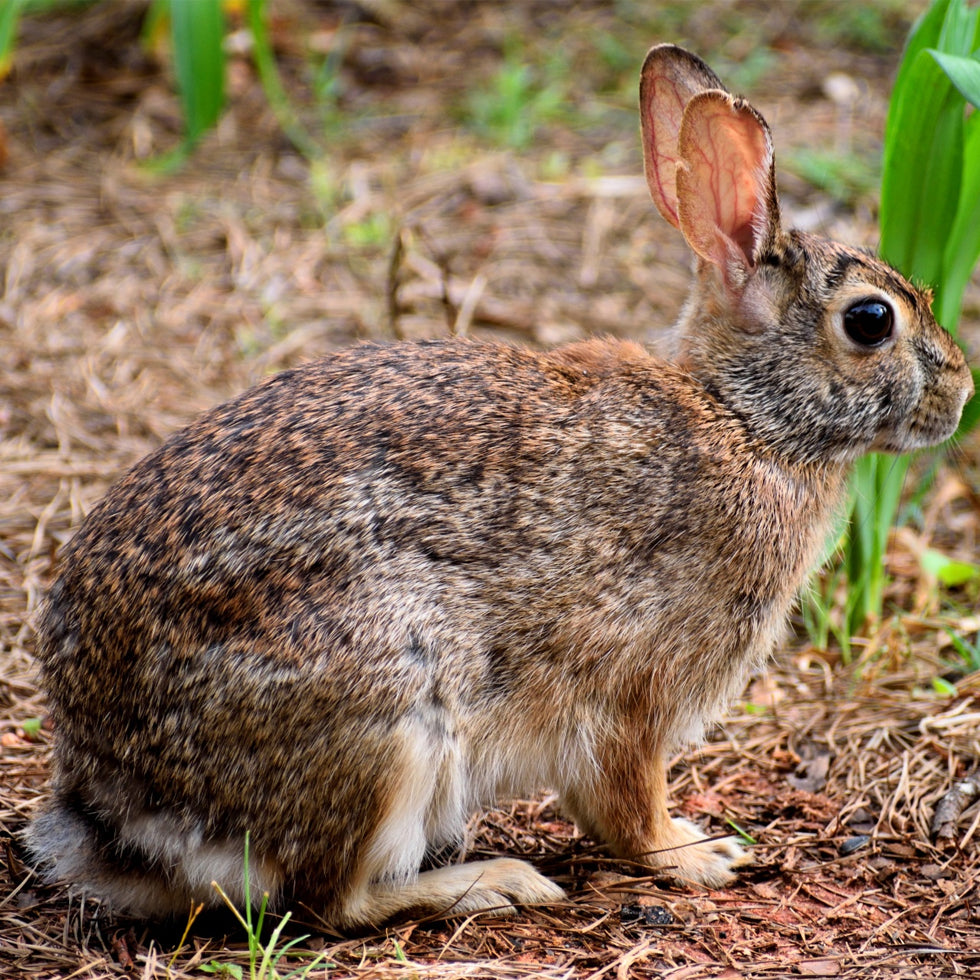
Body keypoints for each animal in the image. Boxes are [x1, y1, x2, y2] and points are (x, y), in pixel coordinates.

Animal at [23, 46, 972, 932]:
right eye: (871, 321)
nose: (961, 392)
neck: (743, 416)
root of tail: (120, 810)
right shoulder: (635, 689)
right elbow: (629, 802)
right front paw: (698, 856)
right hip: (393, 714)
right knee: (330, 900)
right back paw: (495, 882)